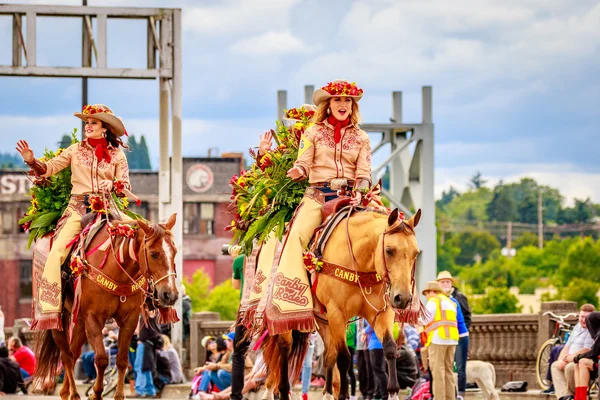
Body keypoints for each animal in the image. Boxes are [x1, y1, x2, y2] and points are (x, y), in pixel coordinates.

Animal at [34, 214, 179, 400]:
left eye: (174, 252)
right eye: (154, 254)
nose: (170, 295)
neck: (117, 268)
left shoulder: (129, 319)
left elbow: (122, 360)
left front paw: (118, 395)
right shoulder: (93, 317)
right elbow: (102, 359)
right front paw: (96, 393)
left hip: (79, 321)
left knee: (74, 353)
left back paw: (66, 392)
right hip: (58, 319)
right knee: (66, 356)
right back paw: (74, 393)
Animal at [262, 208, 422, 400]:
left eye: (415, 253)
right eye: (389, 250)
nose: (403, 298)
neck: (360, 264)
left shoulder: (381, 313)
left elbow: (390, 348)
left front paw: (392, 393)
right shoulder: (337, 313)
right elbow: (344, 357)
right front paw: (344, 394)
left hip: (324, 321)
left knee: (328, 354)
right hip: (291, 319)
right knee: (285, 347)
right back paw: (282, 389)